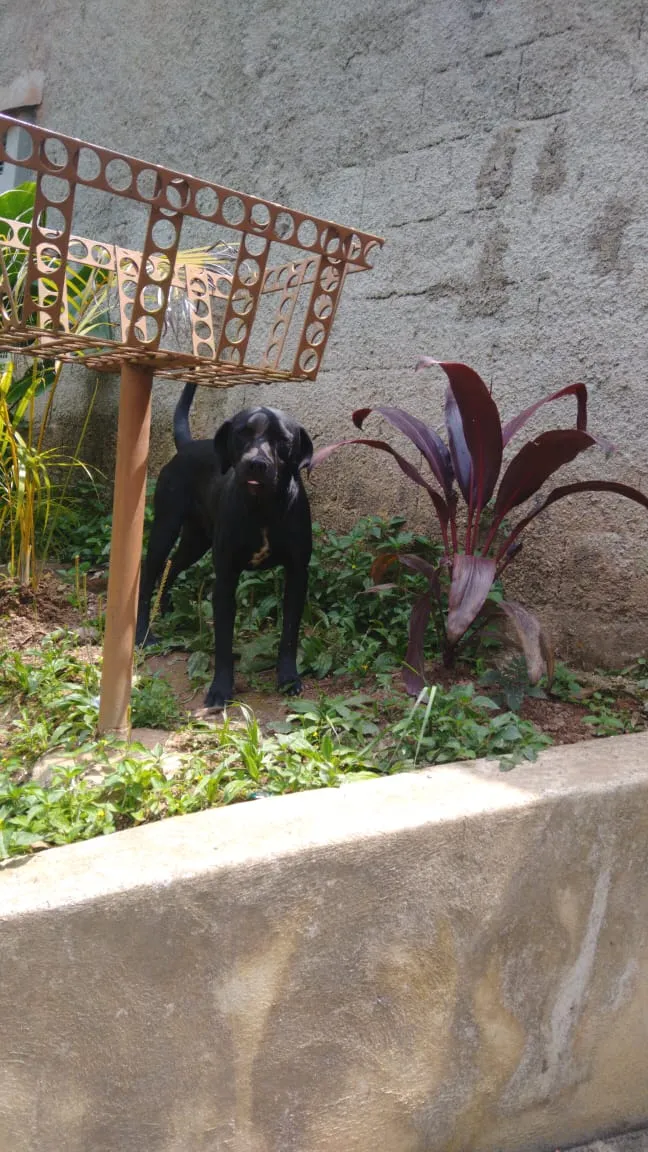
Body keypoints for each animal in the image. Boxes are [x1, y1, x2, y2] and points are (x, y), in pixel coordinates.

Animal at [134, 387, 311, 705]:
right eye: (242, 433)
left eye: (283, 440)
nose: (256, 464)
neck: (262, 508)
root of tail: (188, 445)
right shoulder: (226, 578)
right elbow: (224, 641)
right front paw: (220, 689)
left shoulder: (297, 575)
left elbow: (289, 633)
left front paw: (289, 678)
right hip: (165, 529)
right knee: (149, 573)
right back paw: (144, 633)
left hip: (196, 541)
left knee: (172, 566)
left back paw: (167, 609)